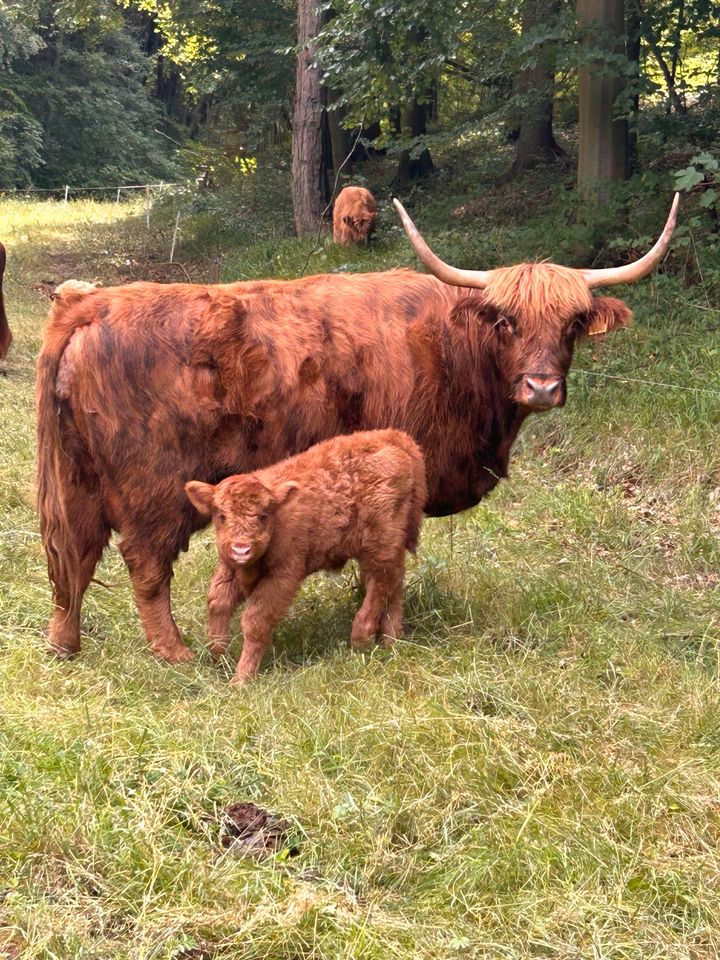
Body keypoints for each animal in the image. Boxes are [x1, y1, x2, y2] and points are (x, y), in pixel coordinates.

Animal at [183, 428, 428, 684]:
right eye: (221, 515)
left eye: (263, 515)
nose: (242, 549)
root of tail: (394, 438)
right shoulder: (231, 569)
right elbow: (217, 601)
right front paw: (218, 654)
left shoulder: (282, 577)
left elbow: (255, 621)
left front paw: (241, 679)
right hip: (390, 544)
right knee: (395, 580)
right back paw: (391, 639)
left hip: (379, 542)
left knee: (380, 582)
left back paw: (361, 636)